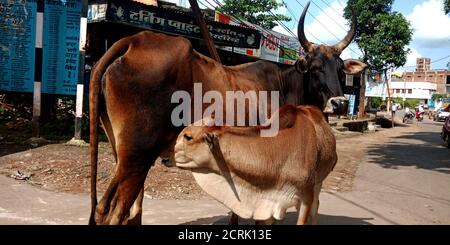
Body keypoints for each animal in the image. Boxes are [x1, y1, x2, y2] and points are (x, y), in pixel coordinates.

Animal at [174, 104, 336, 225]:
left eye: (188, 137)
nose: (172, 152)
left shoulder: (305, 198)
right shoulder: (266, 205)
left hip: (317, 184)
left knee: (315, 208)